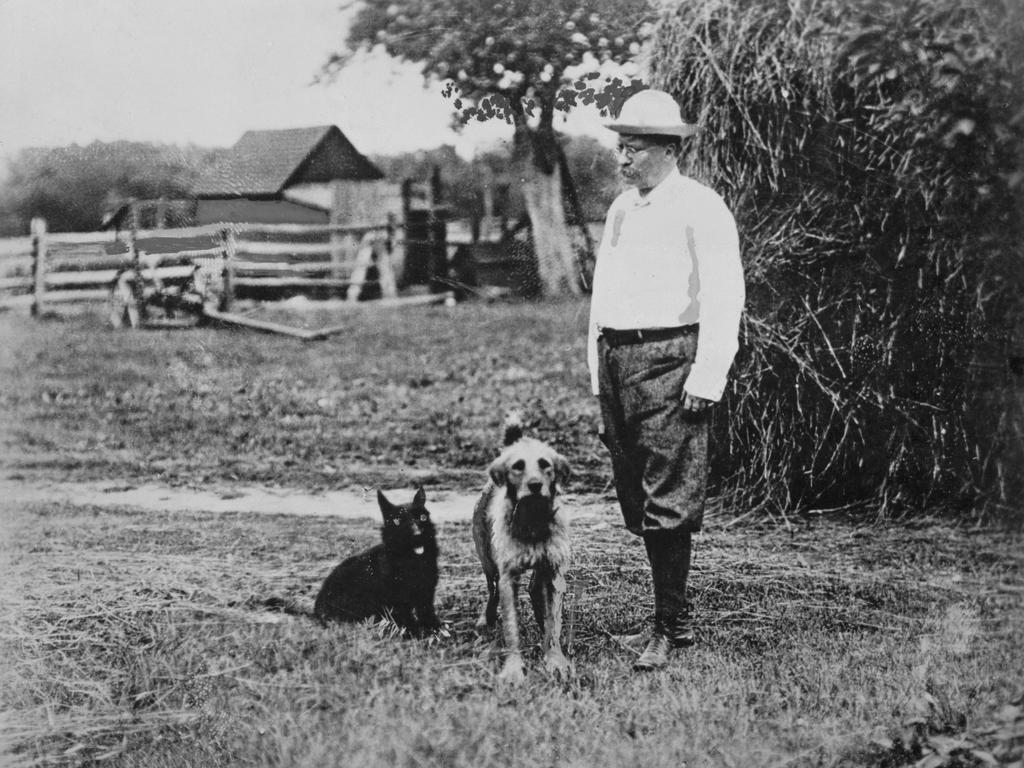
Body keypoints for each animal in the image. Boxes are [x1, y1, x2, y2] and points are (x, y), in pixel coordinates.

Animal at [468, 417, 569, 688]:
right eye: (518, 466)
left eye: (545, 464)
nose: (535, 485)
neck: (532, 520)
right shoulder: (508, 577)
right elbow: (511, 627)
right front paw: (513, 669)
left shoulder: (553, 571)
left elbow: (553, 624)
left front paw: (555, 661)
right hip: (488, 561)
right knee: (492, 590)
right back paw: (486, 619)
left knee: (535, 589)